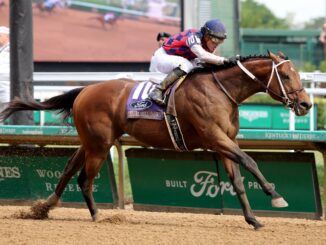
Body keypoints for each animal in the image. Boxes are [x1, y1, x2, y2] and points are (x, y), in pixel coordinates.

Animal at [0, 51, 310, 230]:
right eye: (285, 75)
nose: (306, 104)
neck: (221, 90)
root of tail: (85, 90)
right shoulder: (214, 137)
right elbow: (250, 160)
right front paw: (276, 196)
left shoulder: (224, 142)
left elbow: (237, 181)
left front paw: (253, 219)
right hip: (99, 145)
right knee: (85, 179)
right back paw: (98, 215)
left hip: (92, 142)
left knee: (68, 170)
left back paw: (45, 207)